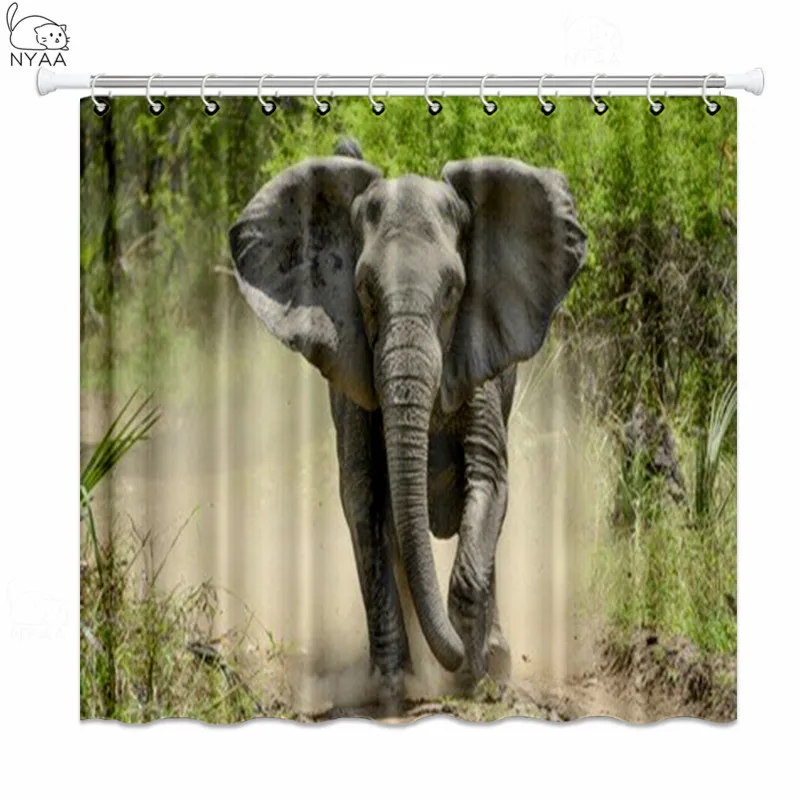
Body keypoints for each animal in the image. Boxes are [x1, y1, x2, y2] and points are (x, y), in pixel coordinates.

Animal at [229, 139, 587, 713]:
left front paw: (473, 677)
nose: (458, 659)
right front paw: (393, 684)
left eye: (453, 293)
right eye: (364, 294)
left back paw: (493, 660)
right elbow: (365, 497)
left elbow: (488, 480)